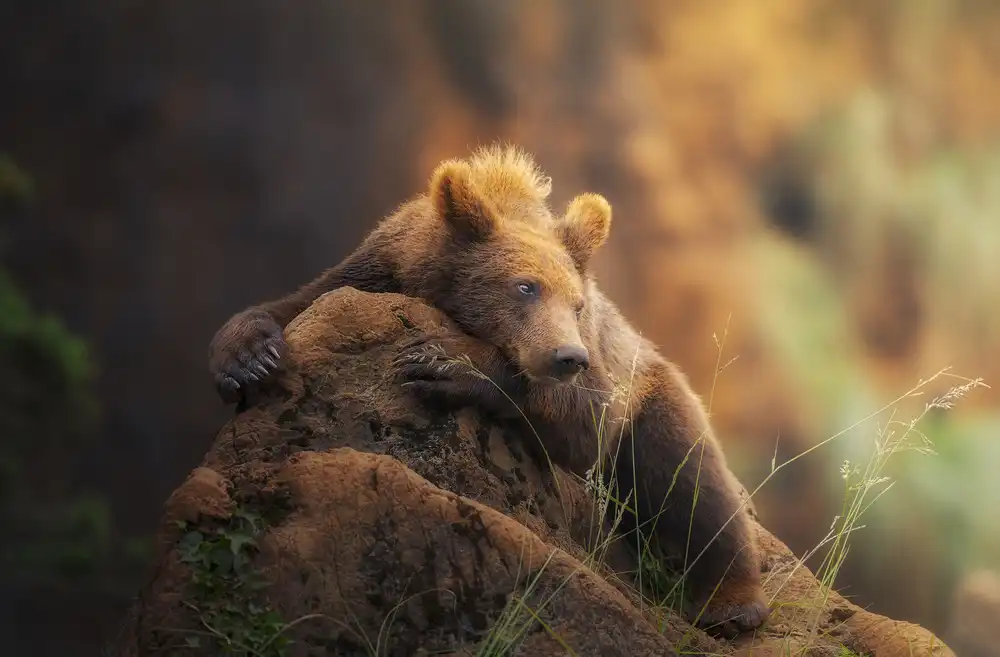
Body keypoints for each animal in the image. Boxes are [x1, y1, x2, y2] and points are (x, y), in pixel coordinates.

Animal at [208, 144, 771, 637]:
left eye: (577, 303)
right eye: (525, 286)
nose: (568, 357)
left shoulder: (602, 372)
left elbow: (585, 422)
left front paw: (444, 363)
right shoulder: (373, 271)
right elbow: (294, 305)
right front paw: (248, 358)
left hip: (654, 389)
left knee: (689, 479)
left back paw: (733, 605)